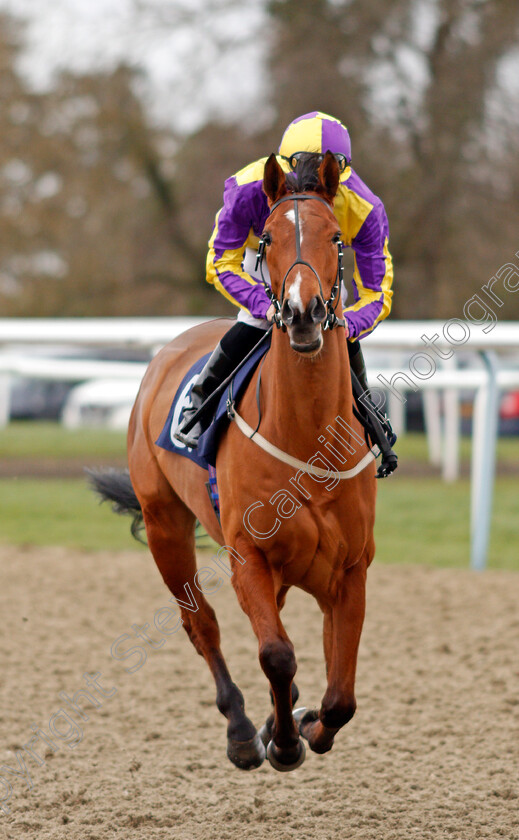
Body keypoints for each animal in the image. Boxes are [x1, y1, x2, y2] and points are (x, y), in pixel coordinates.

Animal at [92, 153, 378, 776]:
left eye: (336, 237)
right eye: (267, 235)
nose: (302, 313)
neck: (307, 439)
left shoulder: (349, 569)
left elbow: (341, 695)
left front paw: (304, 724)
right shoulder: (249, 554)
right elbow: (276, 654)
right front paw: (283, 741)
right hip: (165, 525)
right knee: (201, 623)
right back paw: (245, 731)